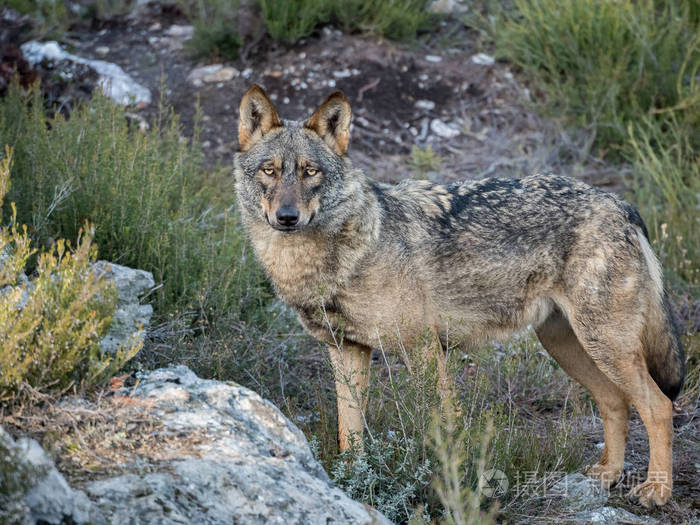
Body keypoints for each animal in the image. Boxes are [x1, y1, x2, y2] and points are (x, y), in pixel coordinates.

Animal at [234, 84, 684, 506]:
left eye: (310, 172)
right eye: (270, 171)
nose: (287, 217)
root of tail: (621, 204)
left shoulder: (422, 348)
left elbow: (445, 428)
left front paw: (459, 488)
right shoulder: (347, 350)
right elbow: (351, 433)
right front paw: (350, 485)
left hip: (603, 345)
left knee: (659, 406)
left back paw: (657, 490)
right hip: (568, 345)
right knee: (616, 402)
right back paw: (608, 475)